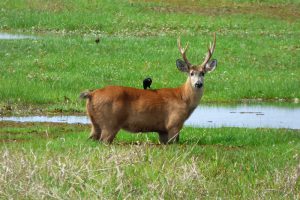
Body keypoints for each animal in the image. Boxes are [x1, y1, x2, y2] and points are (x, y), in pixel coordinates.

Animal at [79, 33, 217, 144]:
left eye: (203, 73)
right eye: (191, 73)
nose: (198, 84)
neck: (183, 98)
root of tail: (92, 94)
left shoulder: (162, 130)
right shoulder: (173, 123)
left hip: (94, 123)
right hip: (110, 123)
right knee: (103, 140)